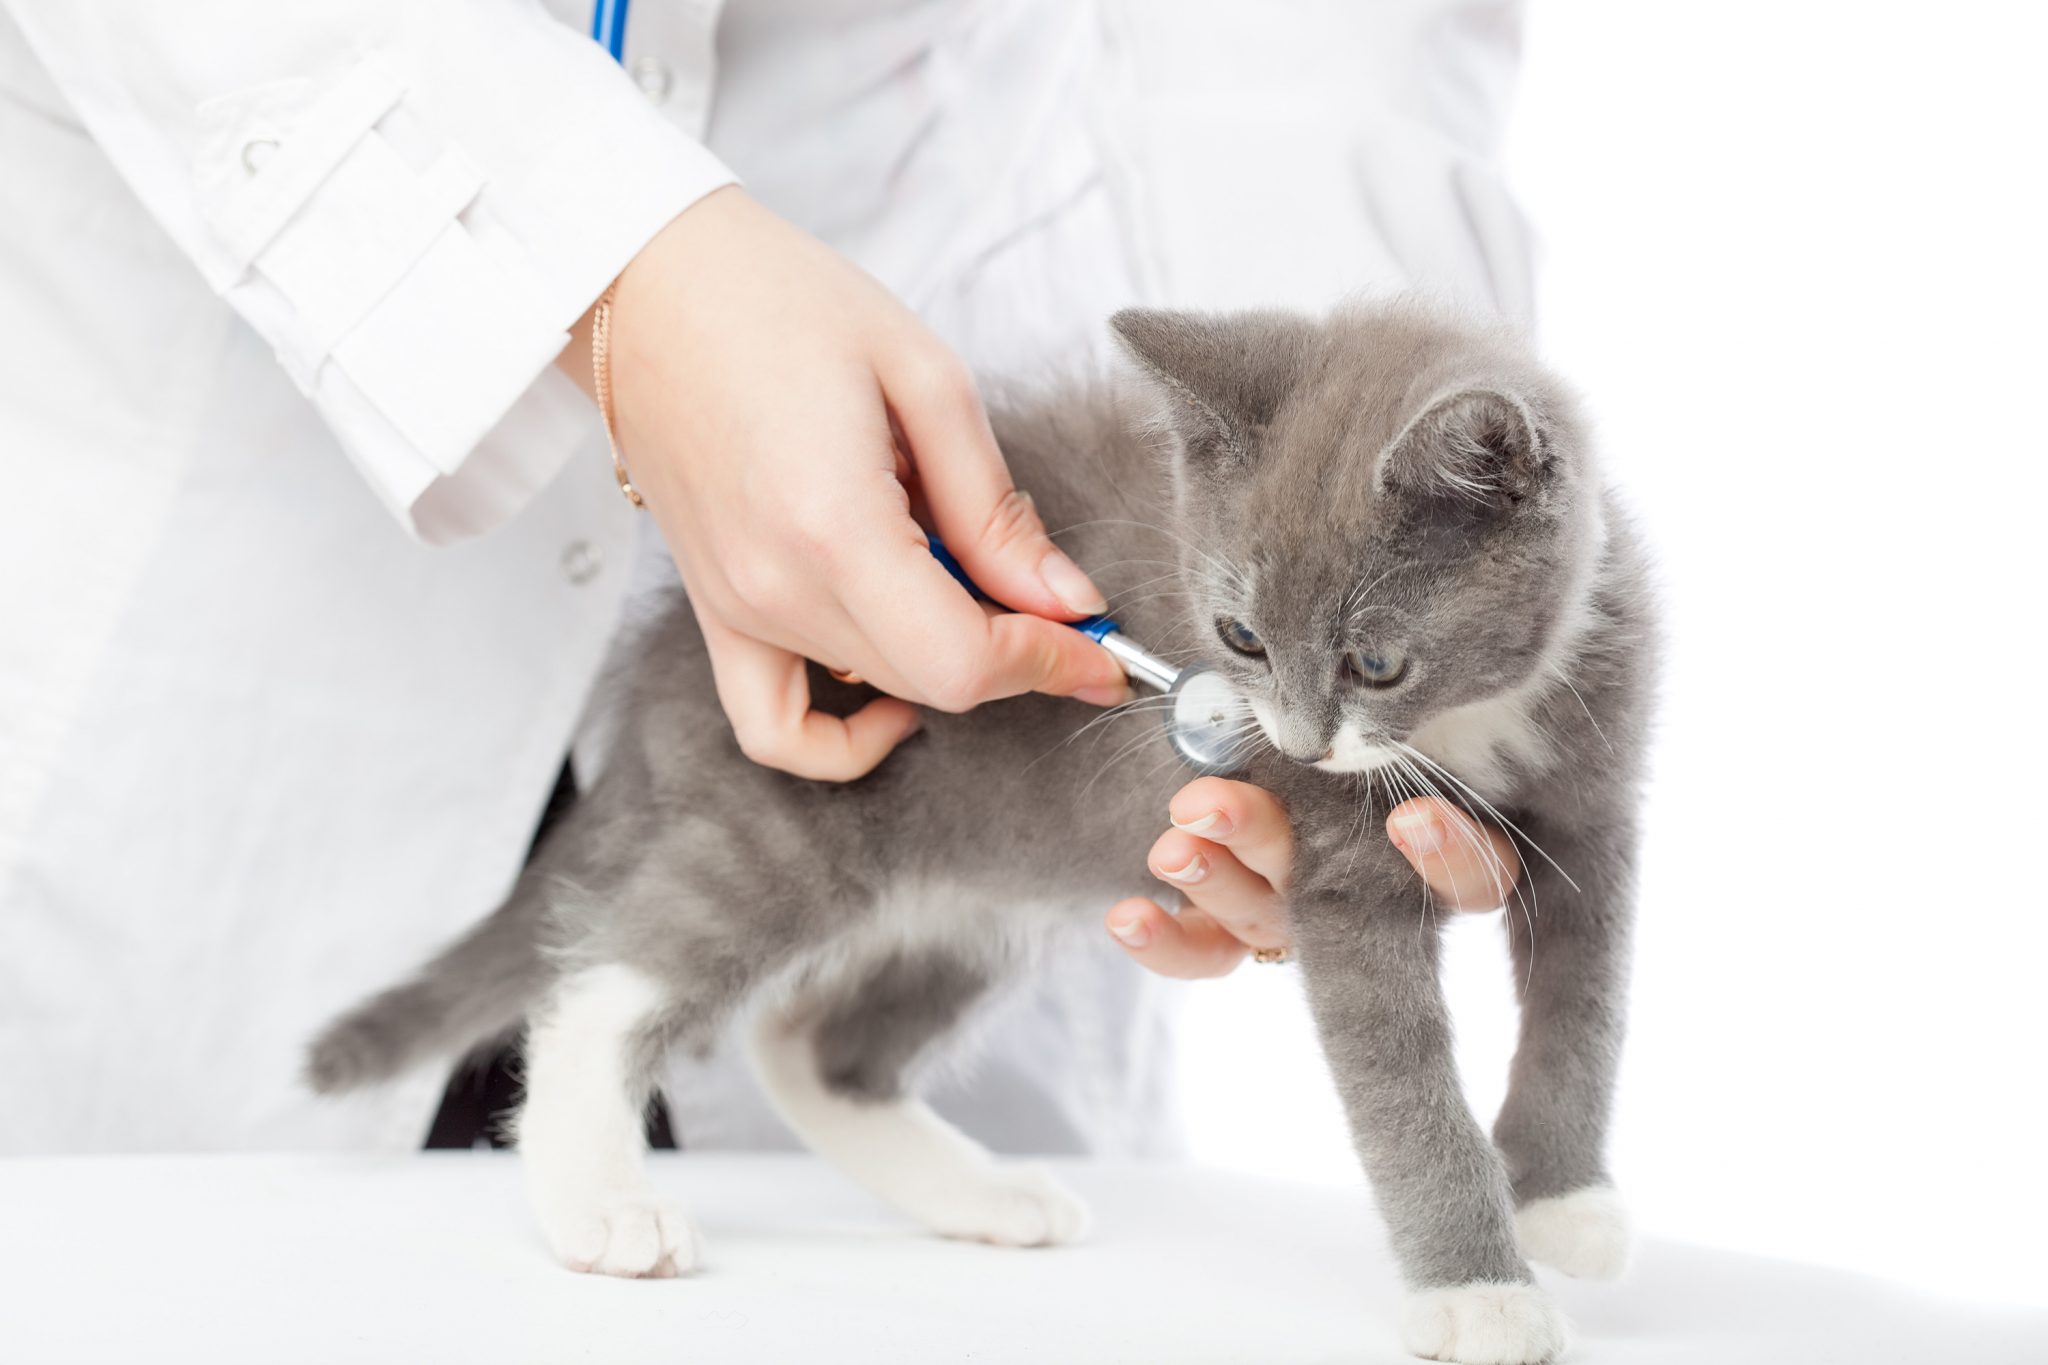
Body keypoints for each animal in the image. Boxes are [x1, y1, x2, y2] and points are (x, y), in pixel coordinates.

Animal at [307, 300, 1646, 1365]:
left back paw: (976, 1194)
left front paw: (1563, 1202)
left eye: (1374, 662)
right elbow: (1398, 1075)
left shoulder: (1600, 789)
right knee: (602, 986)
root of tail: (665, 658)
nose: (1302, 743)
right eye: (1240, 638)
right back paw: (599, 1203)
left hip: (985, 885)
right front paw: (1478, 1295)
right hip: (782, 813)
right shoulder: (1336, 865)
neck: (1468, 720)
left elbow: (1584, 1003)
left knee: (811, 1041)